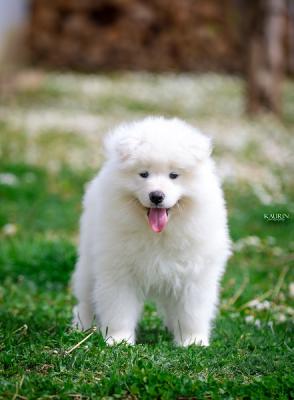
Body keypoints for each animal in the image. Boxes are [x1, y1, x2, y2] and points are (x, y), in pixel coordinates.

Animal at [72, 115, 231, 346]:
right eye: (143, 174)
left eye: (174, 175)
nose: (156, 196)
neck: (159, 235)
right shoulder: (119, 272)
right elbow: (118, 310)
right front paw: (119, 340)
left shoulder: (194, 275)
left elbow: (191, 313)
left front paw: (192, 342)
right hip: (89, 263)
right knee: (85, 300)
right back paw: (81, 327)